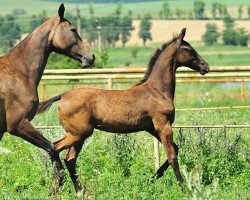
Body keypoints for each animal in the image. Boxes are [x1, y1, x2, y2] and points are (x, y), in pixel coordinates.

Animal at [0, 3, 94, 184]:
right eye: (73, 29)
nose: (90, 57)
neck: (19, 72)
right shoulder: (18, 125)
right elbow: (52, 148)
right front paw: (59, 177)